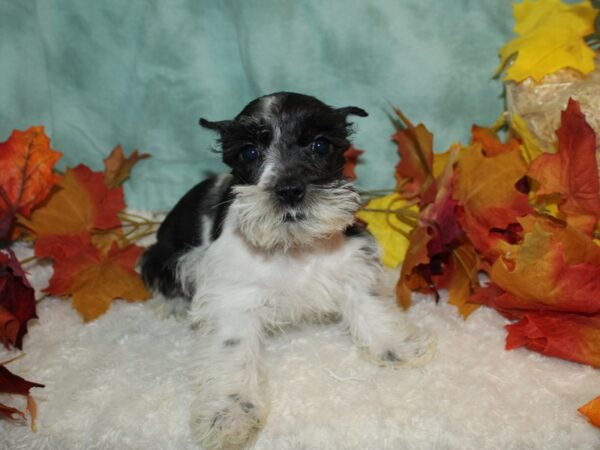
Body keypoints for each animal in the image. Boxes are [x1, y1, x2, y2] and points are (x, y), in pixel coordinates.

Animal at [141, 91, 432, 450]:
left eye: (320, 145)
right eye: (249, 152)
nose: (290, 189)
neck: (294, 247)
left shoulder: (352, 262)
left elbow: (369, 305)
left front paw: (396, 345)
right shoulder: (233, 297)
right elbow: (233, 350)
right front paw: (231, 414)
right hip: (165, 256)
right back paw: (173, 305)